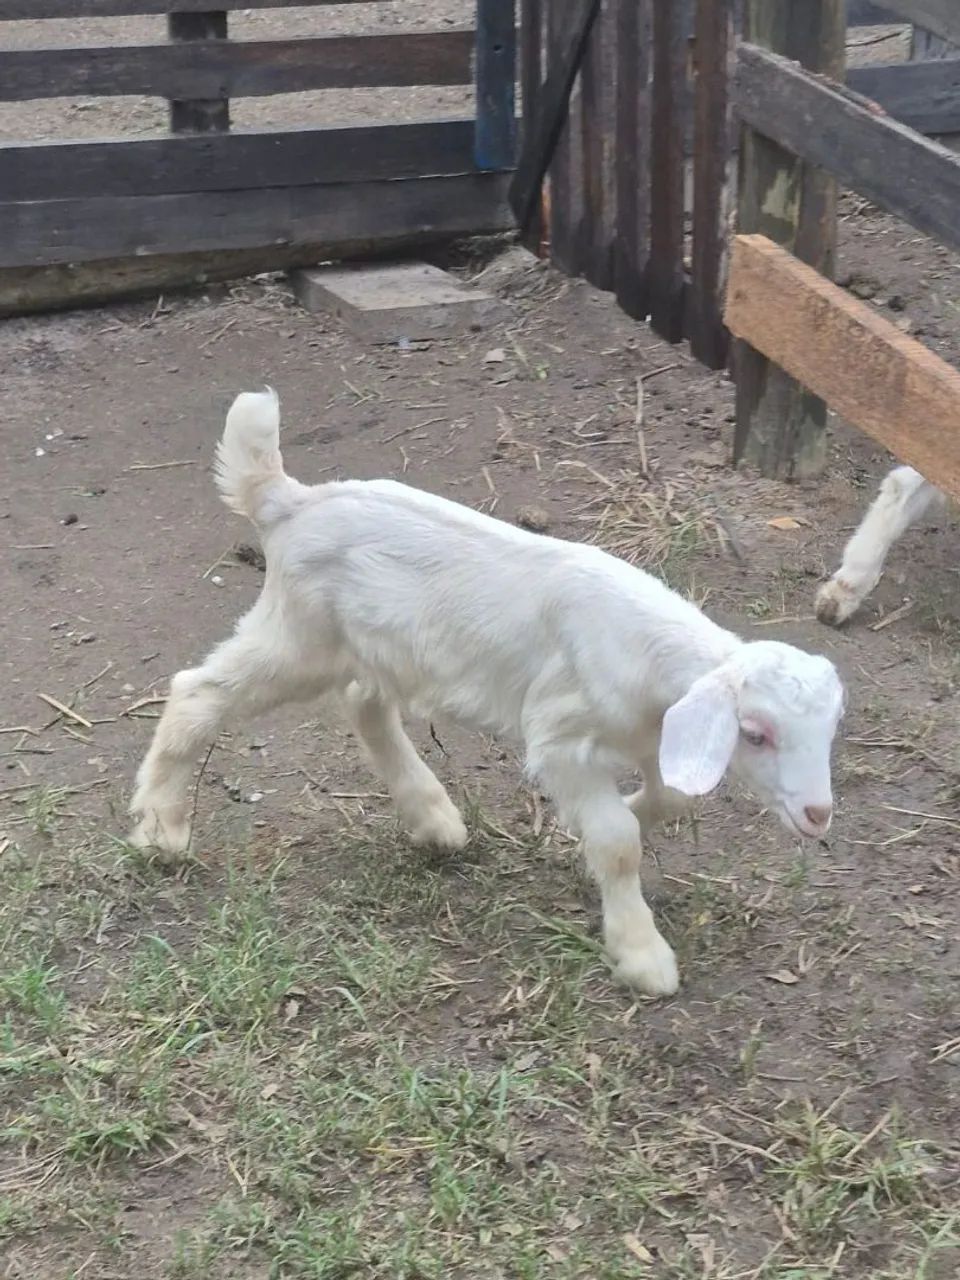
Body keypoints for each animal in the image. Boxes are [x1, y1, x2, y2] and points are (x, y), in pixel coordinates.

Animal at [130, 389, 845, 997]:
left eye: (828, 733)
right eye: (755, 733)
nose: (818, 815)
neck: (646, 659)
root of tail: (291, 501)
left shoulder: (657, 740)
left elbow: (668, 800)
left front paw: (604, 836)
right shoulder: (559, 735)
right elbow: (617, 840)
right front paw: (642, 955)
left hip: (373, 644)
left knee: (364, 701)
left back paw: (433, 819)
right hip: (299, 635)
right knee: (198, 691)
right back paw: (163, 827)